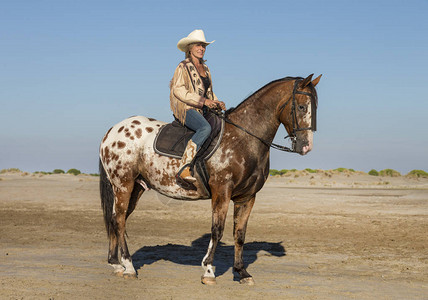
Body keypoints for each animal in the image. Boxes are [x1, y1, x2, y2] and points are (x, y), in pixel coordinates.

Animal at [98, 72, 320, 284]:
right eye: (301, 106)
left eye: (315, 107)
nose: (306, 146)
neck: (244, 138)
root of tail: (112, 131)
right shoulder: (222, 192)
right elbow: (217, 230)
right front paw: (209, 271)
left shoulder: (247, 197)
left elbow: (240, 234)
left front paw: (242, 272)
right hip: (123, 185)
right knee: (119, 220)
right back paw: (129, 267)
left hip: (136, 187)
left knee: (117, 219)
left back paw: (116, 264)